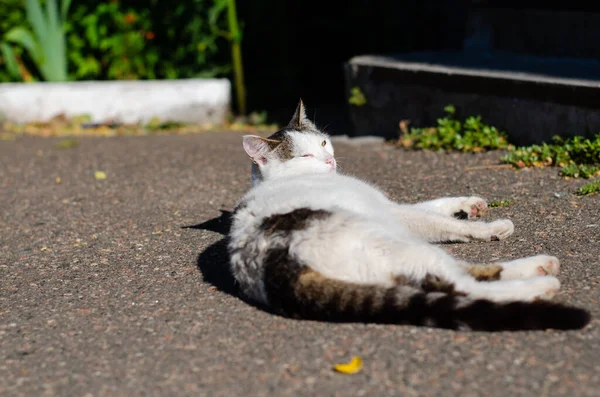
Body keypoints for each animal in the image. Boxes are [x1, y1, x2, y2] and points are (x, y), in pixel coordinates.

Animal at [226, 100, 592, 332]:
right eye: (304, 155)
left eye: (324, 143)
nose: (329, 161)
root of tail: (271, 267)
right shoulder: (392, 212)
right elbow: (439, 221)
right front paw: (489, 226)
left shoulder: (393, 208)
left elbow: (434, 205)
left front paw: (470, 205)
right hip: (390, 240)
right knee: (463, 286)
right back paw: (541, 284)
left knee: (459, 277)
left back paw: (539, 266)